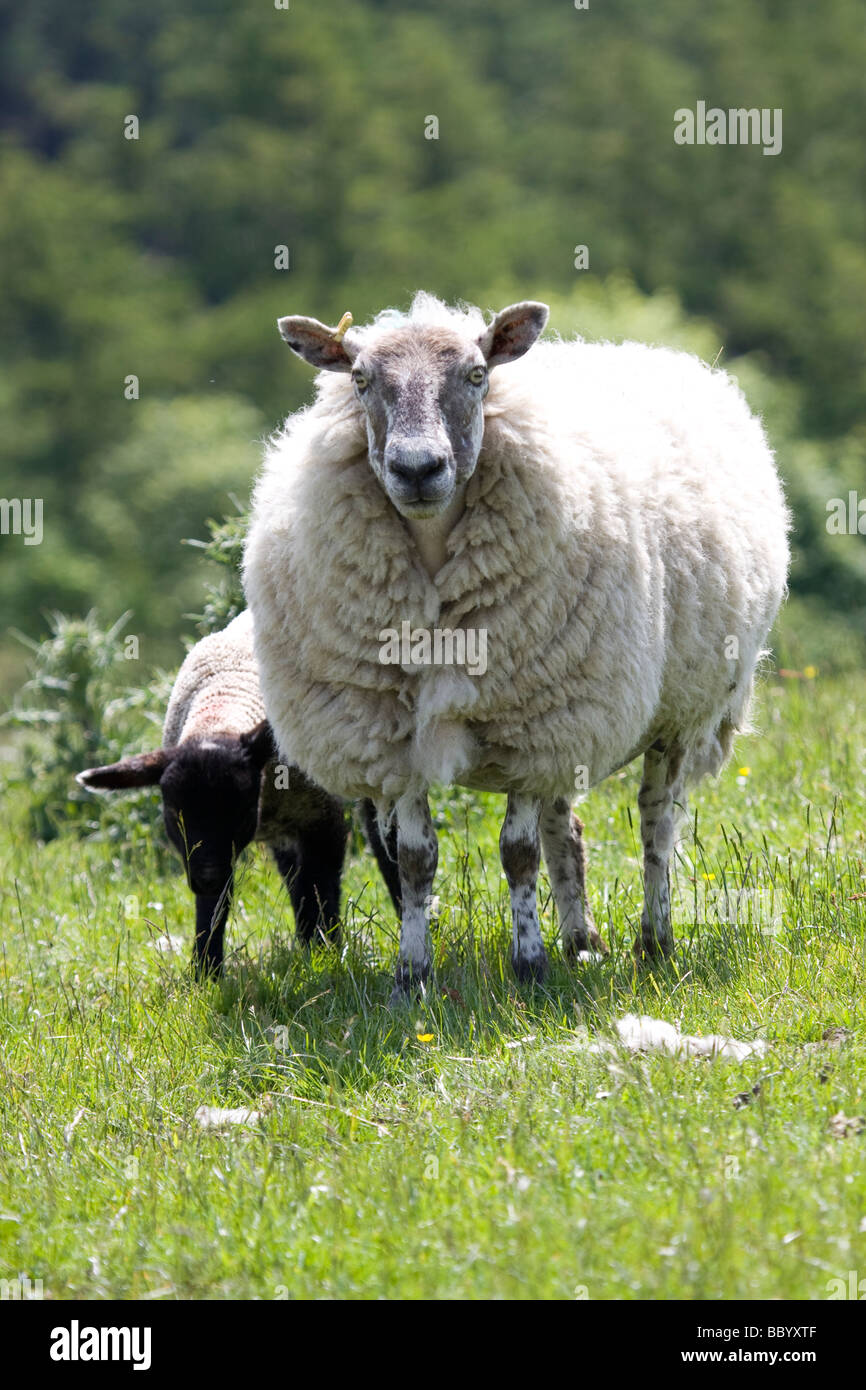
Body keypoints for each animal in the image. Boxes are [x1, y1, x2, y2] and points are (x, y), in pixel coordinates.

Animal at [241, 293, 783, 1000]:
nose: (418, 469)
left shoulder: (529, 725)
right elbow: (415, 862)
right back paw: (581, 943)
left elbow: (517, 853)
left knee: (656, 821)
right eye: (359, 379)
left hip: (672, 713)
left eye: (477, 375)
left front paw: (529, 967)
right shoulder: (395, 740)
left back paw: (654, 942)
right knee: (566, 828)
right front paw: (411, 979)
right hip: (570, 716)